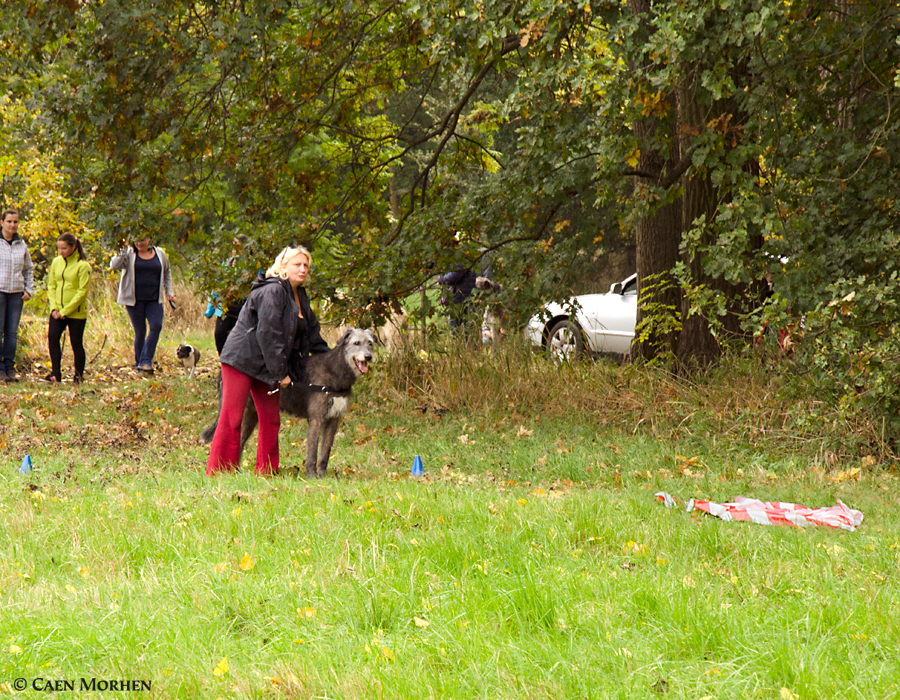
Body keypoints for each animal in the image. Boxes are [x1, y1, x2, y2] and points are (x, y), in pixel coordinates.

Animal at [200, 326, 376, 476]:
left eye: (370, 343)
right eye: (356, 343)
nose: (368, 357)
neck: (334, 370)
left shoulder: (333, 419)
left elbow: (325, 453)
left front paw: (323, 477)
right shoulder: (316, 419)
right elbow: (312, 453)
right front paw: (312, 477)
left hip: (251, 415)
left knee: (241, 441)